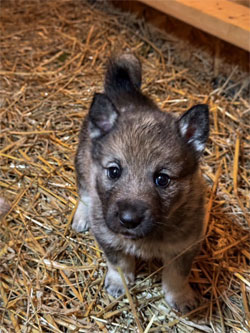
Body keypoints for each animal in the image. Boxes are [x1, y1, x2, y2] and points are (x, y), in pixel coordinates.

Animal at [72, 53, 209, 312]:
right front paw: (119, 283)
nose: (129, 220)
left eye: (162, 179)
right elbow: (119, 263)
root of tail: (124, 89)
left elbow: (177, 276)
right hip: (83, 164)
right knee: (84, 193)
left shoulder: (185, 246)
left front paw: (180, 297)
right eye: (114, 171)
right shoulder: (107, 237)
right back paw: (81, 217)